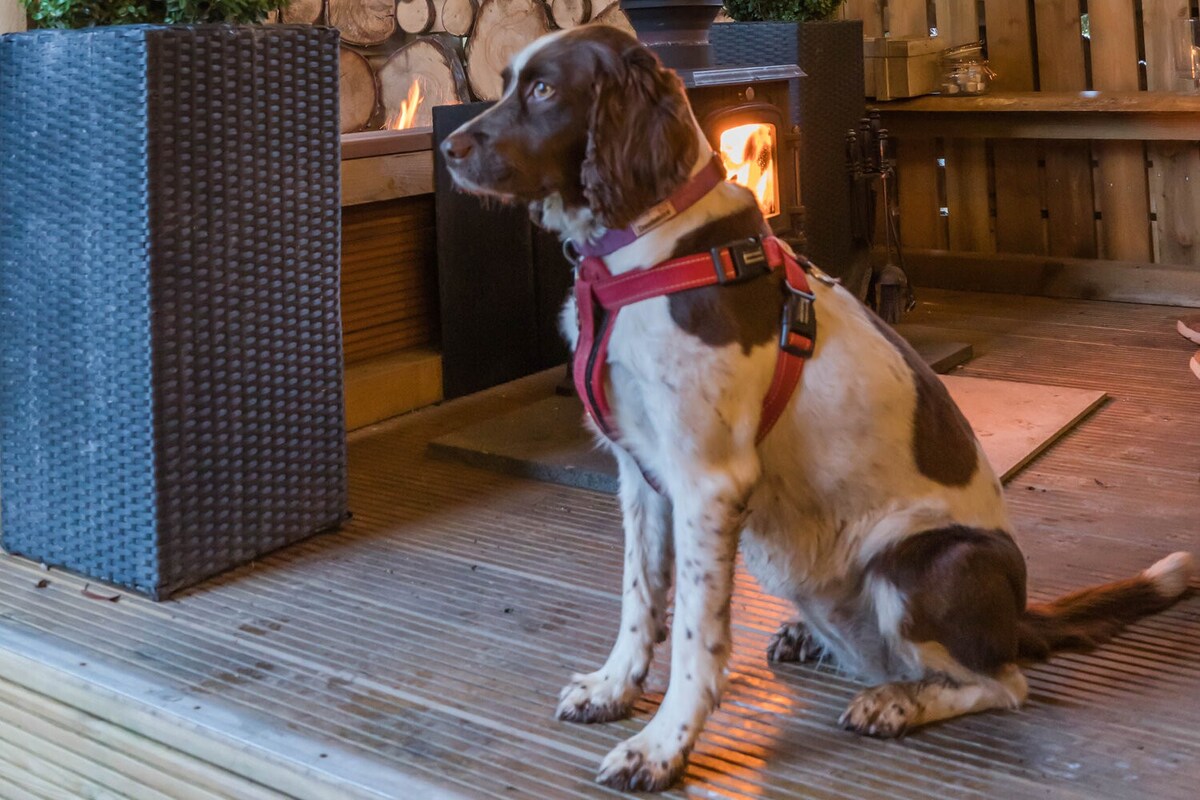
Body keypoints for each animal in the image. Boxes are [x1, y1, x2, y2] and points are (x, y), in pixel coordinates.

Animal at [439, 25, 1190, 796]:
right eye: (507, 81)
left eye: (544, 90)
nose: (448, 149)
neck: (649, 248)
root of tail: (1017, 618)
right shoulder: (639, 472)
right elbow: (639, 598)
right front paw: (612, 689)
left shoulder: (708, 481)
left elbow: (694, 637)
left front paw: (662, 748)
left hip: (925, 562)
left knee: (1003, 682)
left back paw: (895, 702)